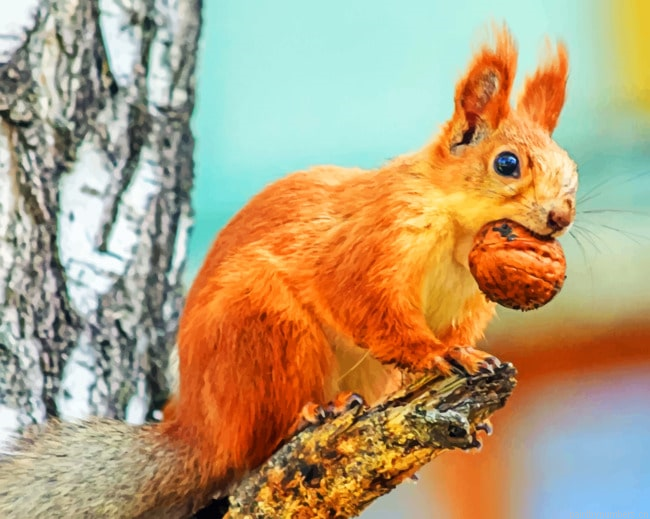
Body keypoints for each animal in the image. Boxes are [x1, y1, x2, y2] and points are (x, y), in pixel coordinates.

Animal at [0, 26, 576, 518]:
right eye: (507, 163)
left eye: (570, 173)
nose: (561, 218)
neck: (459, 232)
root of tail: (202, 430)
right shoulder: (372, 243)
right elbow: (369, 307)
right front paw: (438, 354)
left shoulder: (467, 299)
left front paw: (462, 359)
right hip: (268, 330)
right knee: (260, 441)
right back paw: (312, 413)